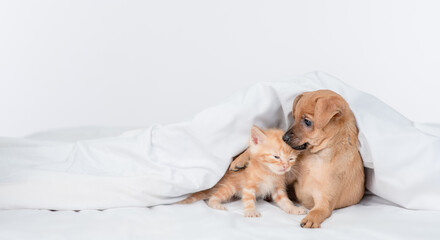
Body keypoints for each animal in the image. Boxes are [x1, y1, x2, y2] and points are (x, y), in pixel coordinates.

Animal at [178, 125, 306, 218]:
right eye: (276, 157)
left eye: (291, 159)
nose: (285, 166)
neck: (268, 172)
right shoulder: (249, 186)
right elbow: (248, 199)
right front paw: (251, 211)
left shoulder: (277, 188)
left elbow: (285, 201)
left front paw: (294, 209)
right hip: (229, 187)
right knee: (214, 197)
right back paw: (216, 204)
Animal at [230, 89, 364, 228]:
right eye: (294, 118)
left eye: (307, 122)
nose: (284, 138)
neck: (316, 156)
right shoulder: (288, 175)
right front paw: (241, 158)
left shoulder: (324, 202)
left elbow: (317, 211)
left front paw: (310, 219)